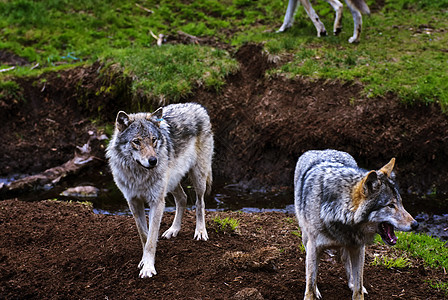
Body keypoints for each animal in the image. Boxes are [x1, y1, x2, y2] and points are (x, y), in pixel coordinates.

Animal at [107, 102, 214, 278]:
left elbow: (151, 239)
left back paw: (200, 231)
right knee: (183, 199)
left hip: (198, 177)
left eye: (153, 140)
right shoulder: (133, 202)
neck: (139, 174)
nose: (153, 160)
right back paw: (173, 230)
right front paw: (144, 261)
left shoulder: (156, 201)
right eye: (136, 141)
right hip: (172, 182)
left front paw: (148, 268)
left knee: (200, 203)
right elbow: (144, 235)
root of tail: (197, 106)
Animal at [294, 150, 416, 300]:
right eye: (390, 205)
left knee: (348, 264)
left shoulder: (358, 247)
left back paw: (352, 283)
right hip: (306, 239)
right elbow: (310, 283)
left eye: (401, 203)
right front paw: (313, 291)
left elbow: (358, 287)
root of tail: (321, 150)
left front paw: (357, 289)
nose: (416, 224)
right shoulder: (314, 248)